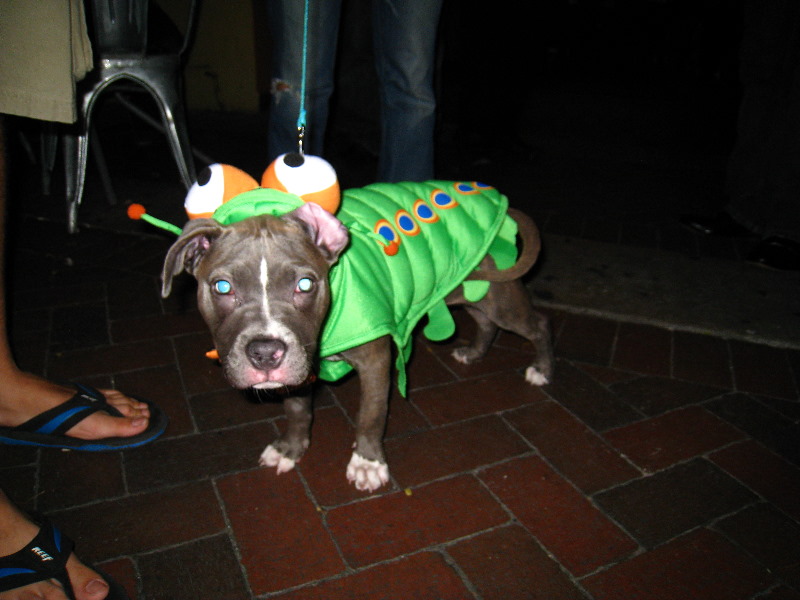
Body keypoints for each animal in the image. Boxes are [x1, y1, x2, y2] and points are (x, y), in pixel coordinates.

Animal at [159, 179, 552, 492]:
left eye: (306, 284)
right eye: (222, 287)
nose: (266, 353)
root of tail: (493, 197)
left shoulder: (375, 360)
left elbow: (371, 414)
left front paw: (368, 462)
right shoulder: (300, 366)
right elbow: (297, 408)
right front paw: (291, 448)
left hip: (500, 296)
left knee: (537, 324)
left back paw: (541, 369)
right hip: (471, 289)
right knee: (485, 322)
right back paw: (473, 352)